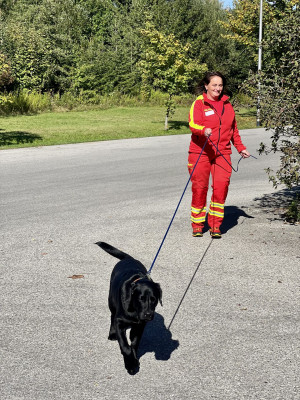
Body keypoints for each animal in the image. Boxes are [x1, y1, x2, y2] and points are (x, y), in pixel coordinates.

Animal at [95, 241, 162, 376]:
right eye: (141, 298)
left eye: (154, 299)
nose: (148, 314)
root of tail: (129, 259)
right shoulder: (120, 322)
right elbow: (125, 346)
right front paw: (130, 364)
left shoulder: (141, 325)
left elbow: (134, 343)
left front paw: (134, 359)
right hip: (111, 301)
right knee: (112, 316)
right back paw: (112, 333)